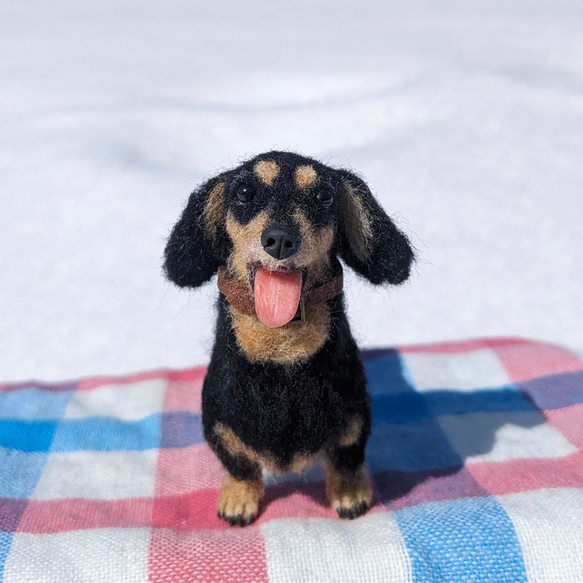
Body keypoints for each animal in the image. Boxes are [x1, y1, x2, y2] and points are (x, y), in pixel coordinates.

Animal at [162, 151, 412, 524]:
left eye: (324, 195)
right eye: (245, 192)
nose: (280, 239)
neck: (281, 350)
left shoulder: (354, 417)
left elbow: (346, 460)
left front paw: (350, 494)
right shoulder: (219, 422)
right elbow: (241, 465)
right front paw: (239, 499)